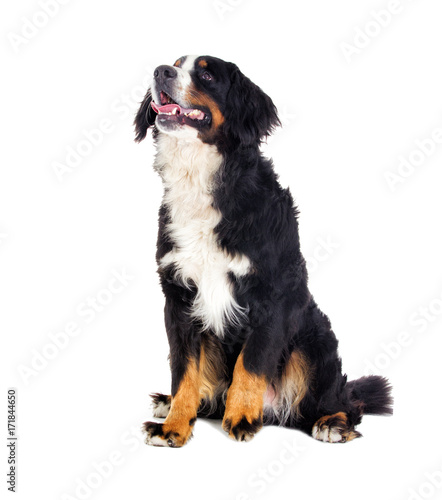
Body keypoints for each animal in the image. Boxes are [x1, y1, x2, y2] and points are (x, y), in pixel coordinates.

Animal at [133, 55, 392, 450]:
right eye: (176, 64)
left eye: (206, 74)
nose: (161, 71)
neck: (202, 180)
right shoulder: (179, 299)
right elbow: (184, 371)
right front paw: (175, 425)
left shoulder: (271, 296)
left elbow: (250, 365)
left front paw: (241, 418)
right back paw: (171, 402)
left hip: (314, 341)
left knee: (341, 403)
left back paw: (332, 423)